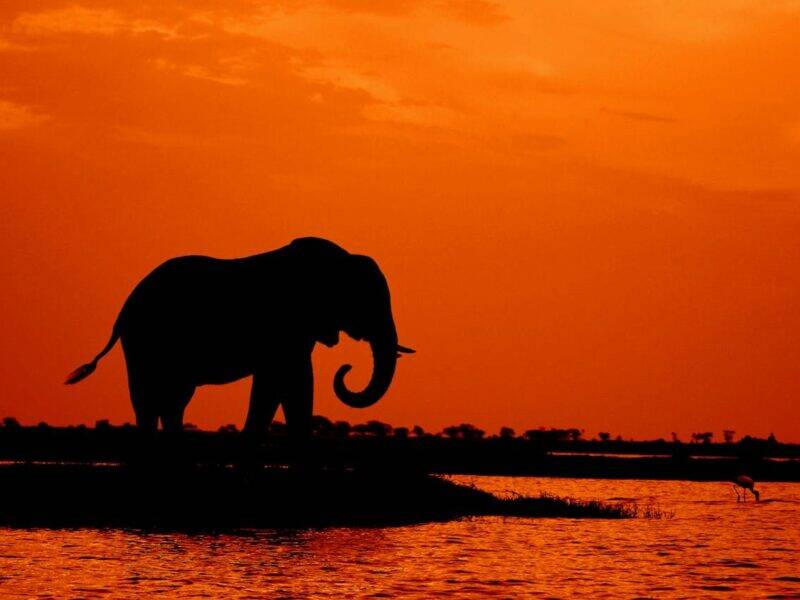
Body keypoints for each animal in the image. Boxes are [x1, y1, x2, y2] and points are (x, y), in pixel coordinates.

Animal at [65, 237, 414, 435]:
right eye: (366, 301)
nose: (346, 369)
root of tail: (123, 310)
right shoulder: (285, 324)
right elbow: (289, 380)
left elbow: (285, 384)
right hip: (144, 339)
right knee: (148, 399)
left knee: (173, 399)